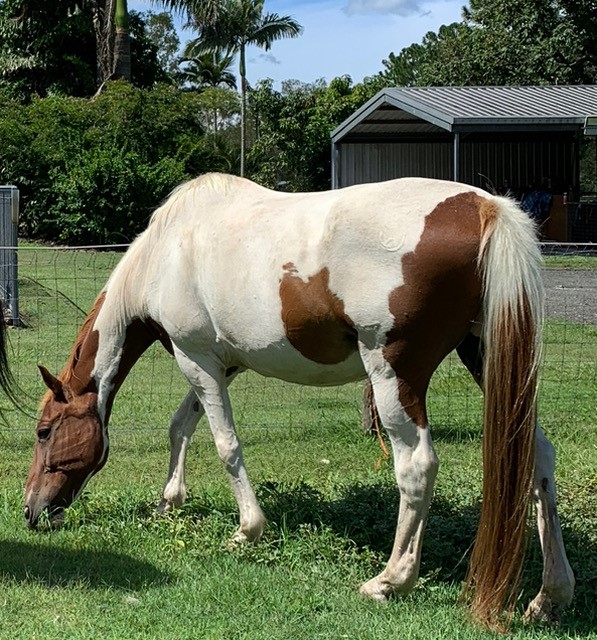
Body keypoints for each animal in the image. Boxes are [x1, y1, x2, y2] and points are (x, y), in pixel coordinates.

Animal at [23, 174, 572, 632]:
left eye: (44, 432)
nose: (31, 510)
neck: (167, 252)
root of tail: (484, 207)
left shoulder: (195, 357)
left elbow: (225, 446)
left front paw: (247, 531)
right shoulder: (222, 364)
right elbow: (181, 425)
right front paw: (168, 502)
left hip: (393, 374)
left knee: (416, 466)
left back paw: (390, 581)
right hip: (486, 358)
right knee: (538, 457)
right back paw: (549, 595)